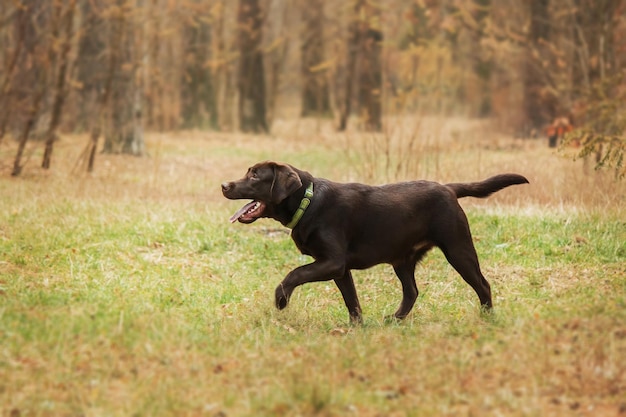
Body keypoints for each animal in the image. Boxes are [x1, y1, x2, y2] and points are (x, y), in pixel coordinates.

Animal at [221, 161, 528, 324]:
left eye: (254, 175)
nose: (224, 185)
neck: (308, 201)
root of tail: (448, 188)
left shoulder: (332, 262)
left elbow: (293, 275)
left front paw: (281, 301)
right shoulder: (340, 270)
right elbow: (352, 301)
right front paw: (357, 327)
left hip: (458, 248)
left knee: (482, 284)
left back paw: (487, 317)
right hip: (403, 259)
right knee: (412, 291)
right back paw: (395, 319)